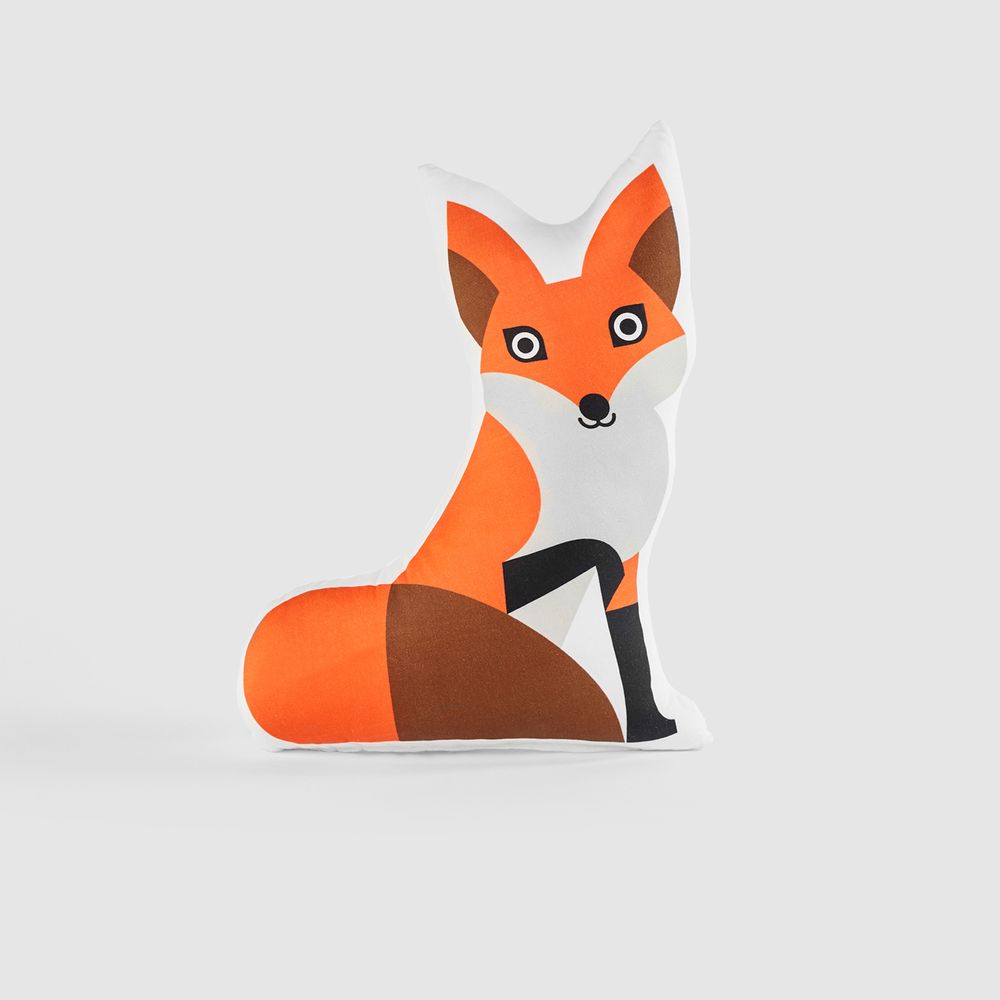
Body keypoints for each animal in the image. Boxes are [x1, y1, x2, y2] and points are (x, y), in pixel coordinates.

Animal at [244, 130, 706, 749]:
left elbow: (628, 637)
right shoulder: (513, 570)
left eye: (628, 327)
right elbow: (595, 558)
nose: (593, 405)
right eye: (526, 346)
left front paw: (653, 726)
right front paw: (646, 725)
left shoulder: (631, 563)